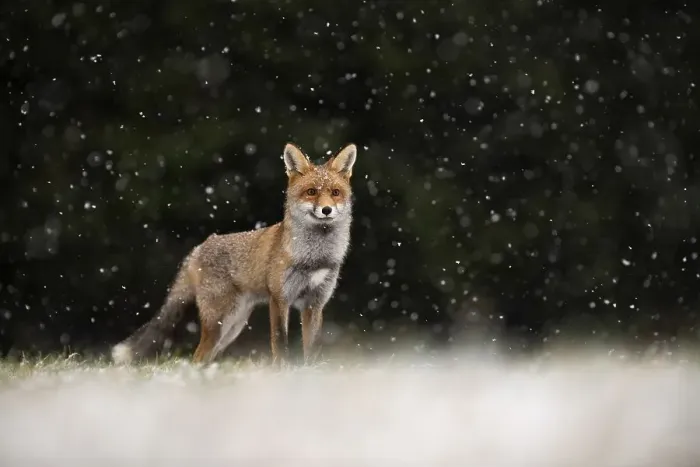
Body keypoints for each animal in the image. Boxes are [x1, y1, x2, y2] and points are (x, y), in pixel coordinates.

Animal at [111, 142, 358, 365]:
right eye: (311, 192)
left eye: (335, 193)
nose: (326, 210)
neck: (314, 258)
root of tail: (199, 248)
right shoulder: (279, 299)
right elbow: (281, 346)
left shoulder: (314, 304)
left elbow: (312, 351)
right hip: (220, 322)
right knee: (197, 357)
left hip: (233, 327)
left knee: (206, 358)